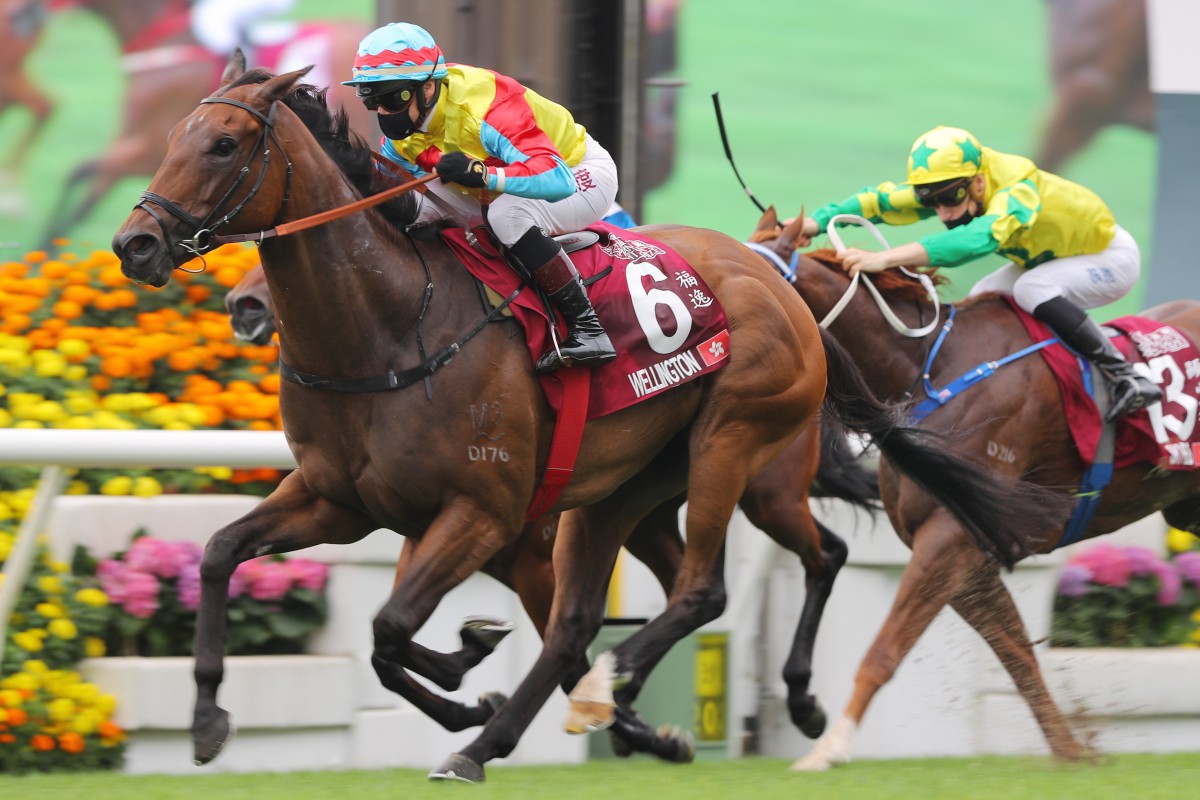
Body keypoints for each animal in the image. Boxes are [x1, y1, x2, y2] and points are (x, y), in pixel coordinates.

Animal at [38, 0, 369, 247]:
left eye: (224, 146)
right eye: (173, 137)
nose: (31, 17)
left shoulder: (145, 150)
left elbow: (81, 174)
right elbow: (83, 181)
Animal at [110, 59, 1070, 786]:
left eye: (224, 144)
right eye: (172, 139)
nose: (136, 245)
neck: (390, 326)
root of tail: (779, 280)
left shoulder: (484, 513)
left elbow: (389, 629)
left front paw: (468, 672)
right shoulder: (339, 501)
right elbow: (224, 554)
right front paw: (208, 718)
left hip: (735, 446)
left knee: (710, 588)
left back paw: (602, 697)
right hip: (625, 491)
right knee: (585, 621)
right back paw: (518, 731)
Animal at [744, 209, 1200, 772]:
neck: (929, 369)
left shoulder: (949, 537)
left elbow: (884, 650)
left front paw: (828, 750)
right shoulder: (968, 552)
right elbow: (1019, 655)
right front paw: (1072, 753)